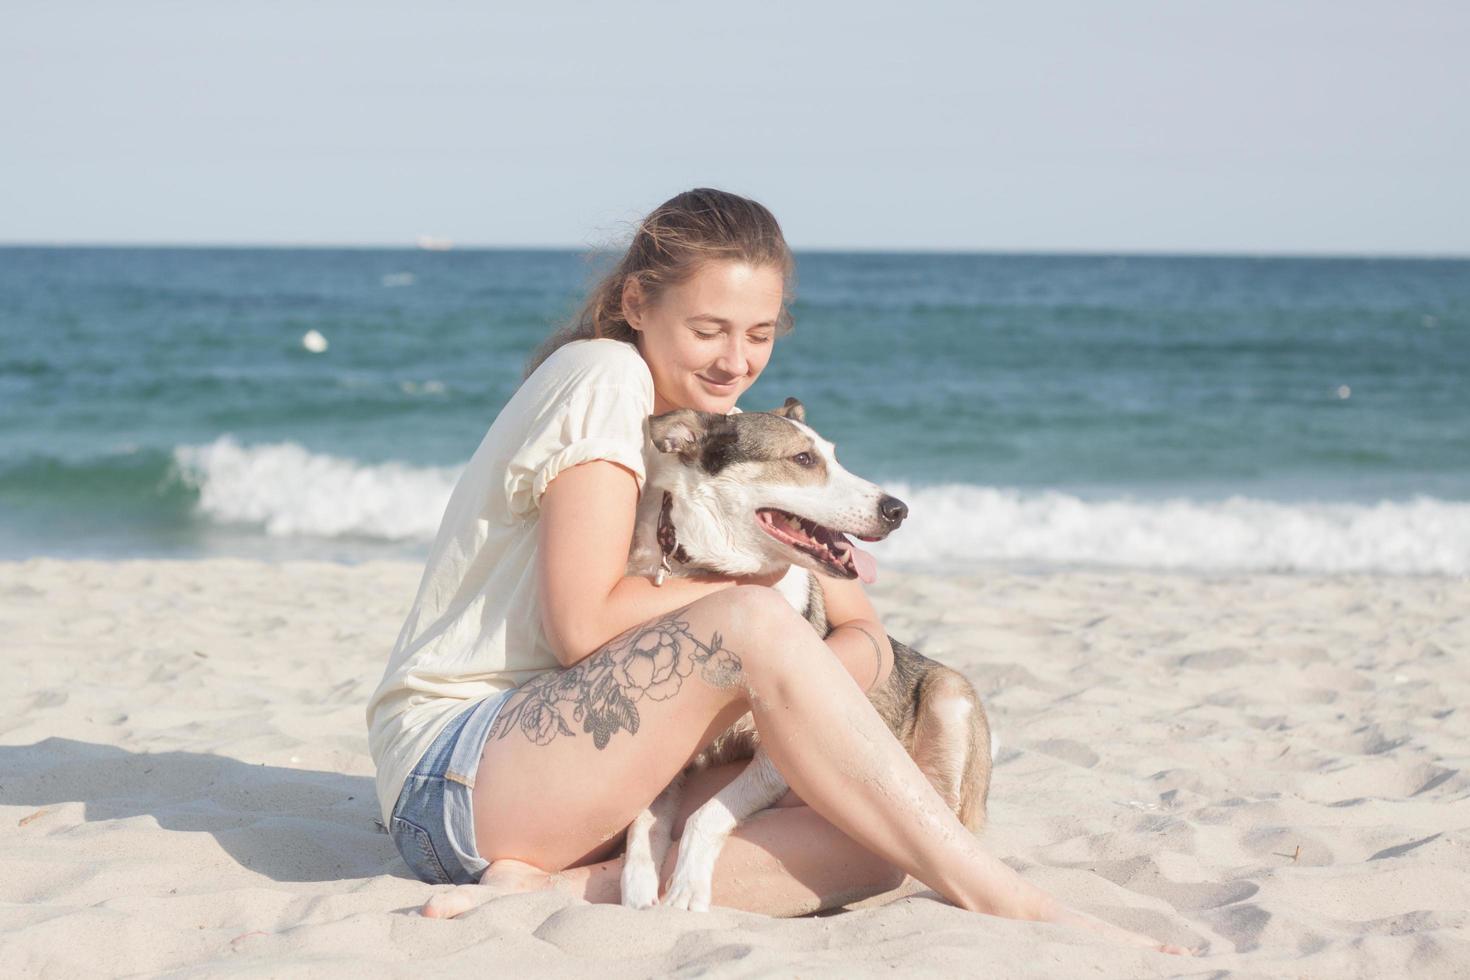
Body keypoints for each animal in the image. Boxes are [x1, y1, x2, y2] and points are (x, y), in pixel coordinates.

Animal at [614, 396, 993, 910]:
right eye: (803, 459)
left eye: (834, 456)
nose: (899, 509)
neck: (724, 580)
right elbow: (642, 821)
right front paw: (637, 892)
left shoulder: (780, 758)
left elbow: (704, 815)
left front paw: (687, 887)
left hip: (948, 698)